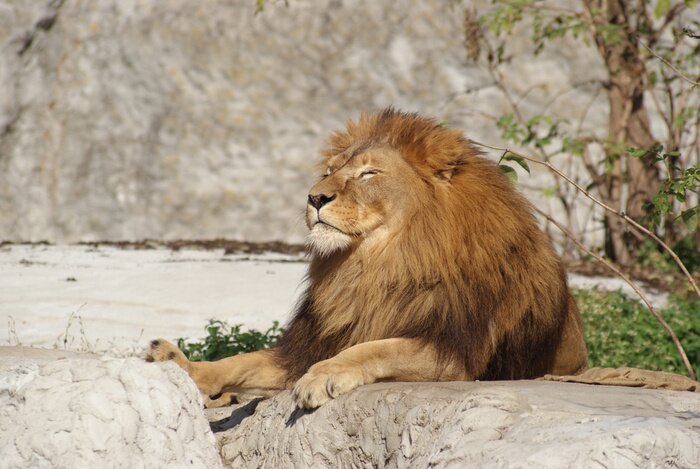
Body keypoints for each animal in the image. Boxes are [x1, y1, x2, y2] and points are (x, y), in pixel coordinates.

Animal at [147, 108, 588, 409]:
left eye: (369, 173)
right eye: (329, 170)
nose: (314, 197)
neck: (376, 264)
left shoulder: (453, 354)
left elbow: (376, 348)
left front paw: (324, 376)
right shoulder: (305, 345)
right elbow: (241, 361)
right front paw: (179, 363)